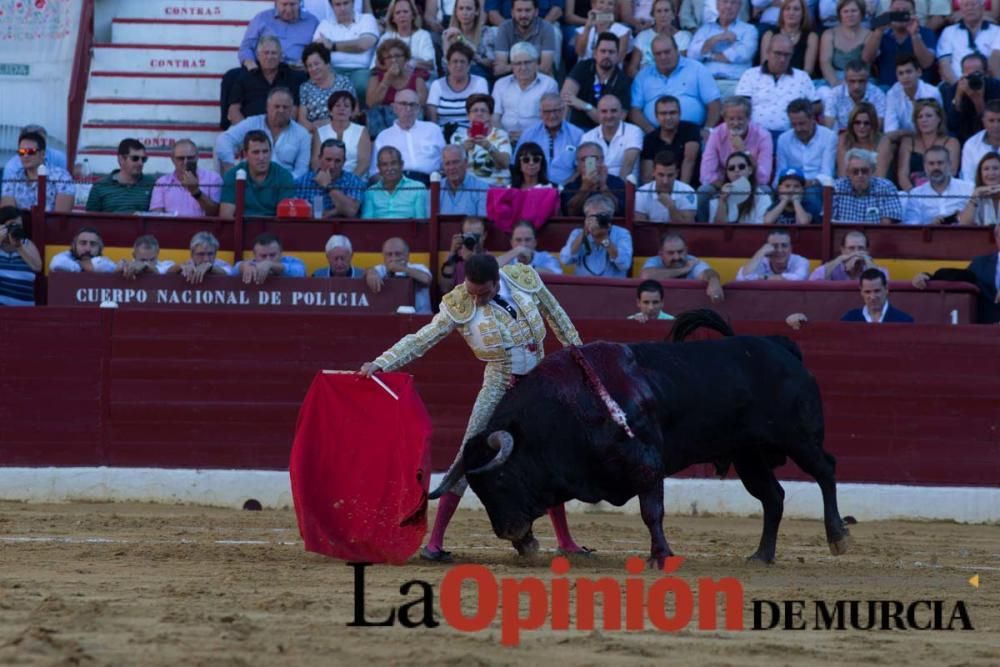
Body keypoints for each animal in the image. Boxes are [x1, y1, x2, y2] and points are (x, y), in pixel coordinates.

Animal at [430, 312, 852, 564]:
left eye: (500, 478)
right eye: (478, 489)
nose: (507, 531)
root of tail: (781, 346)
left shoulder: (647, 465)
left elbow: (652, 512)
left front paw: (661, 556)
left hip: (799, 439)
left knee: (826, 471)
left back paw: (837, 536)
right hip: (748, 456)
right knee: (773, 497)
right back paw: (762, 555)